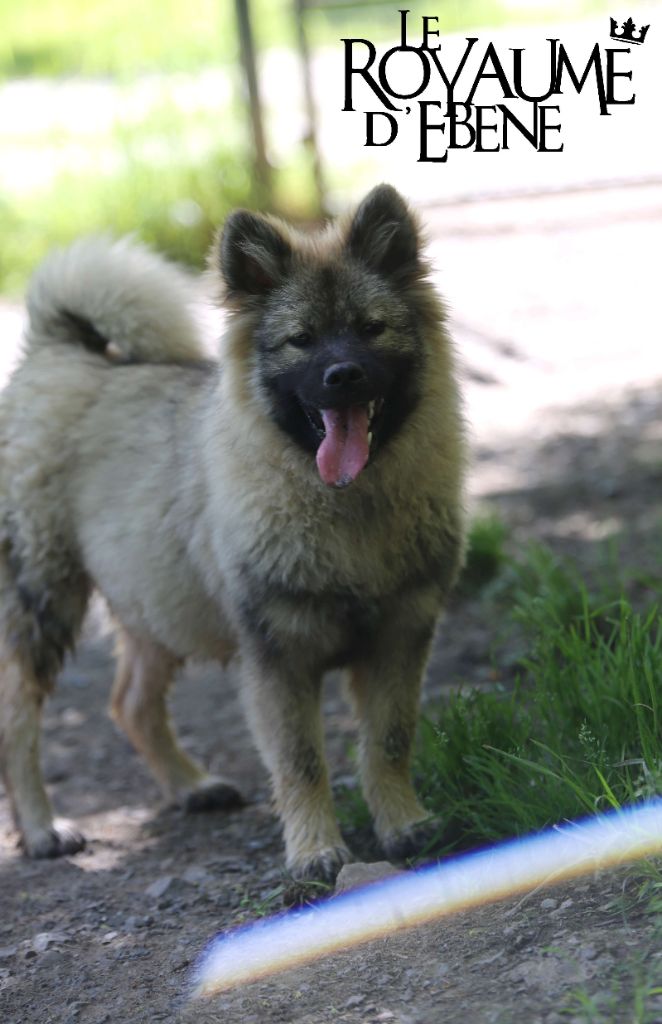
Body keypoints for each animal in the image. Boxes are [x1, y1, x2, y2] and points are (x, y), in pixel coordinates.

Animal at [0, 186, 467, 880]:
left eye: (369, 329)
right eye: (301, 341)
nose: (343, 375)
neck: (347, 511)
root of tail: (55, 353)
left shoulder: (400, 637)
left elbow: (388, 743)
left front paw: (404, 824)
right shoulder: (278, 656)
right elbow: (301, 762)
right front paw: (315, 850)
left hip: (157, 602)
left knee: (131, 703)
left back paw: (191, 786)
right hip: (46, 601)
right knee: (19, 721)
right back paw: (41, 828)